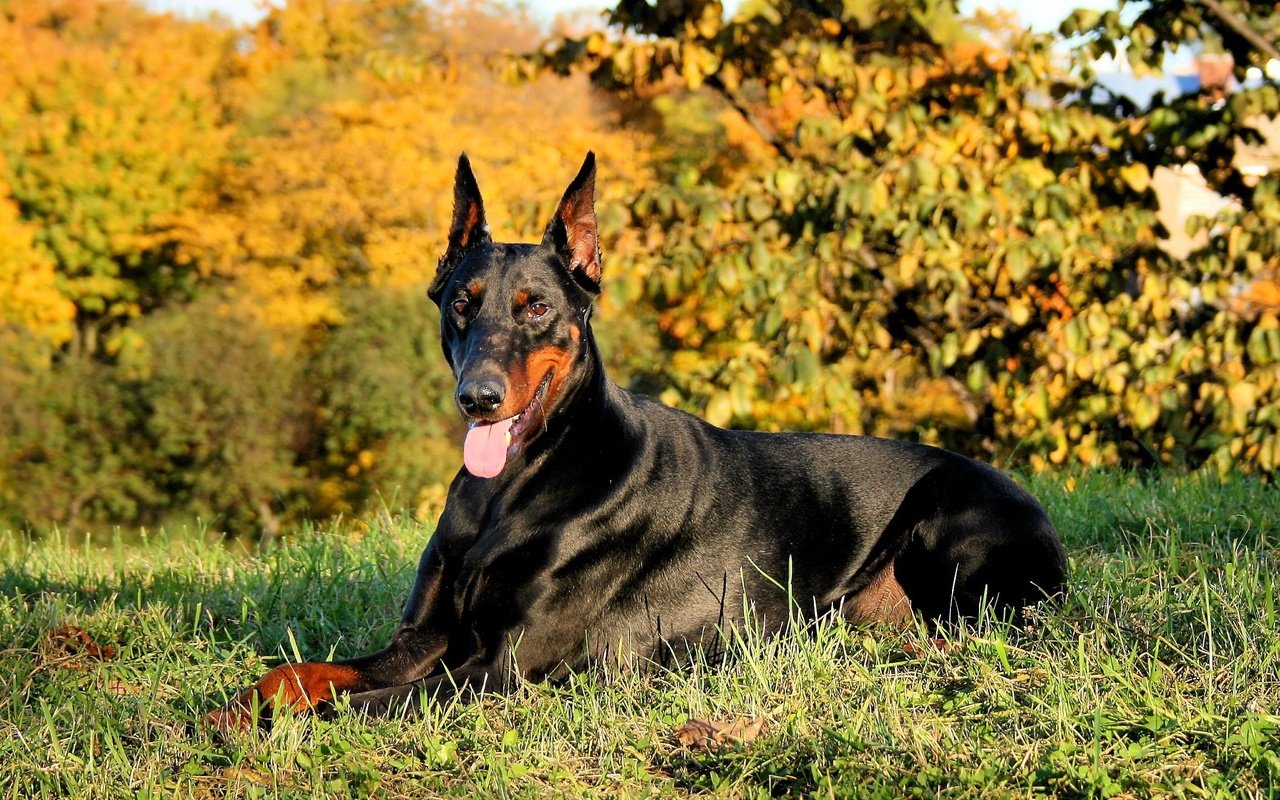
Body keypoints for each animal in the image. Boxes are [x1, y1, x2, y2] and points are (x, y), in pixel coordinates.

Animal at [207, 151, 1070, 732]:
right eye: (461, 302)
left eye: (536, 307)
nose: (478, 397)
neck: (512, 488)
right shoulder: (425, 635)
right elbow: (300, 673)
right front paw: (228, 708)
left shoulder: (498, 667)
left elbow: (350, 704)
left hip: (944, 518)